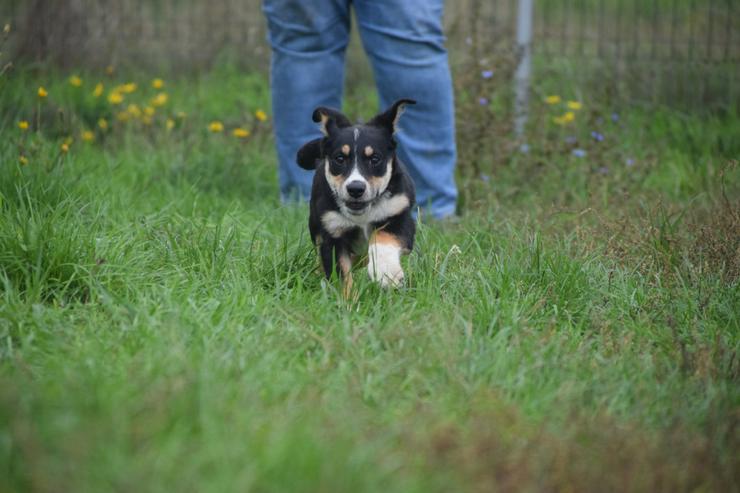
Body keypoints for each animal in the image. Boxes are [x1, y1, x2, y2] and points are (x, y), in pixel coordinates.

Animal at [298, 100, 420, 292]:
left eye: (375, 159)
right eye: (339, 159)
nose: (355, 188)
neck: (362, 215)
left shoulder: (399, 215)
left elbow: (382, 239)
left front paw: (386, 273)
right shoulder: (332, 234)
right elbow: (341, 275)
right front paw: (349, 299)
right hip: (316, 226)